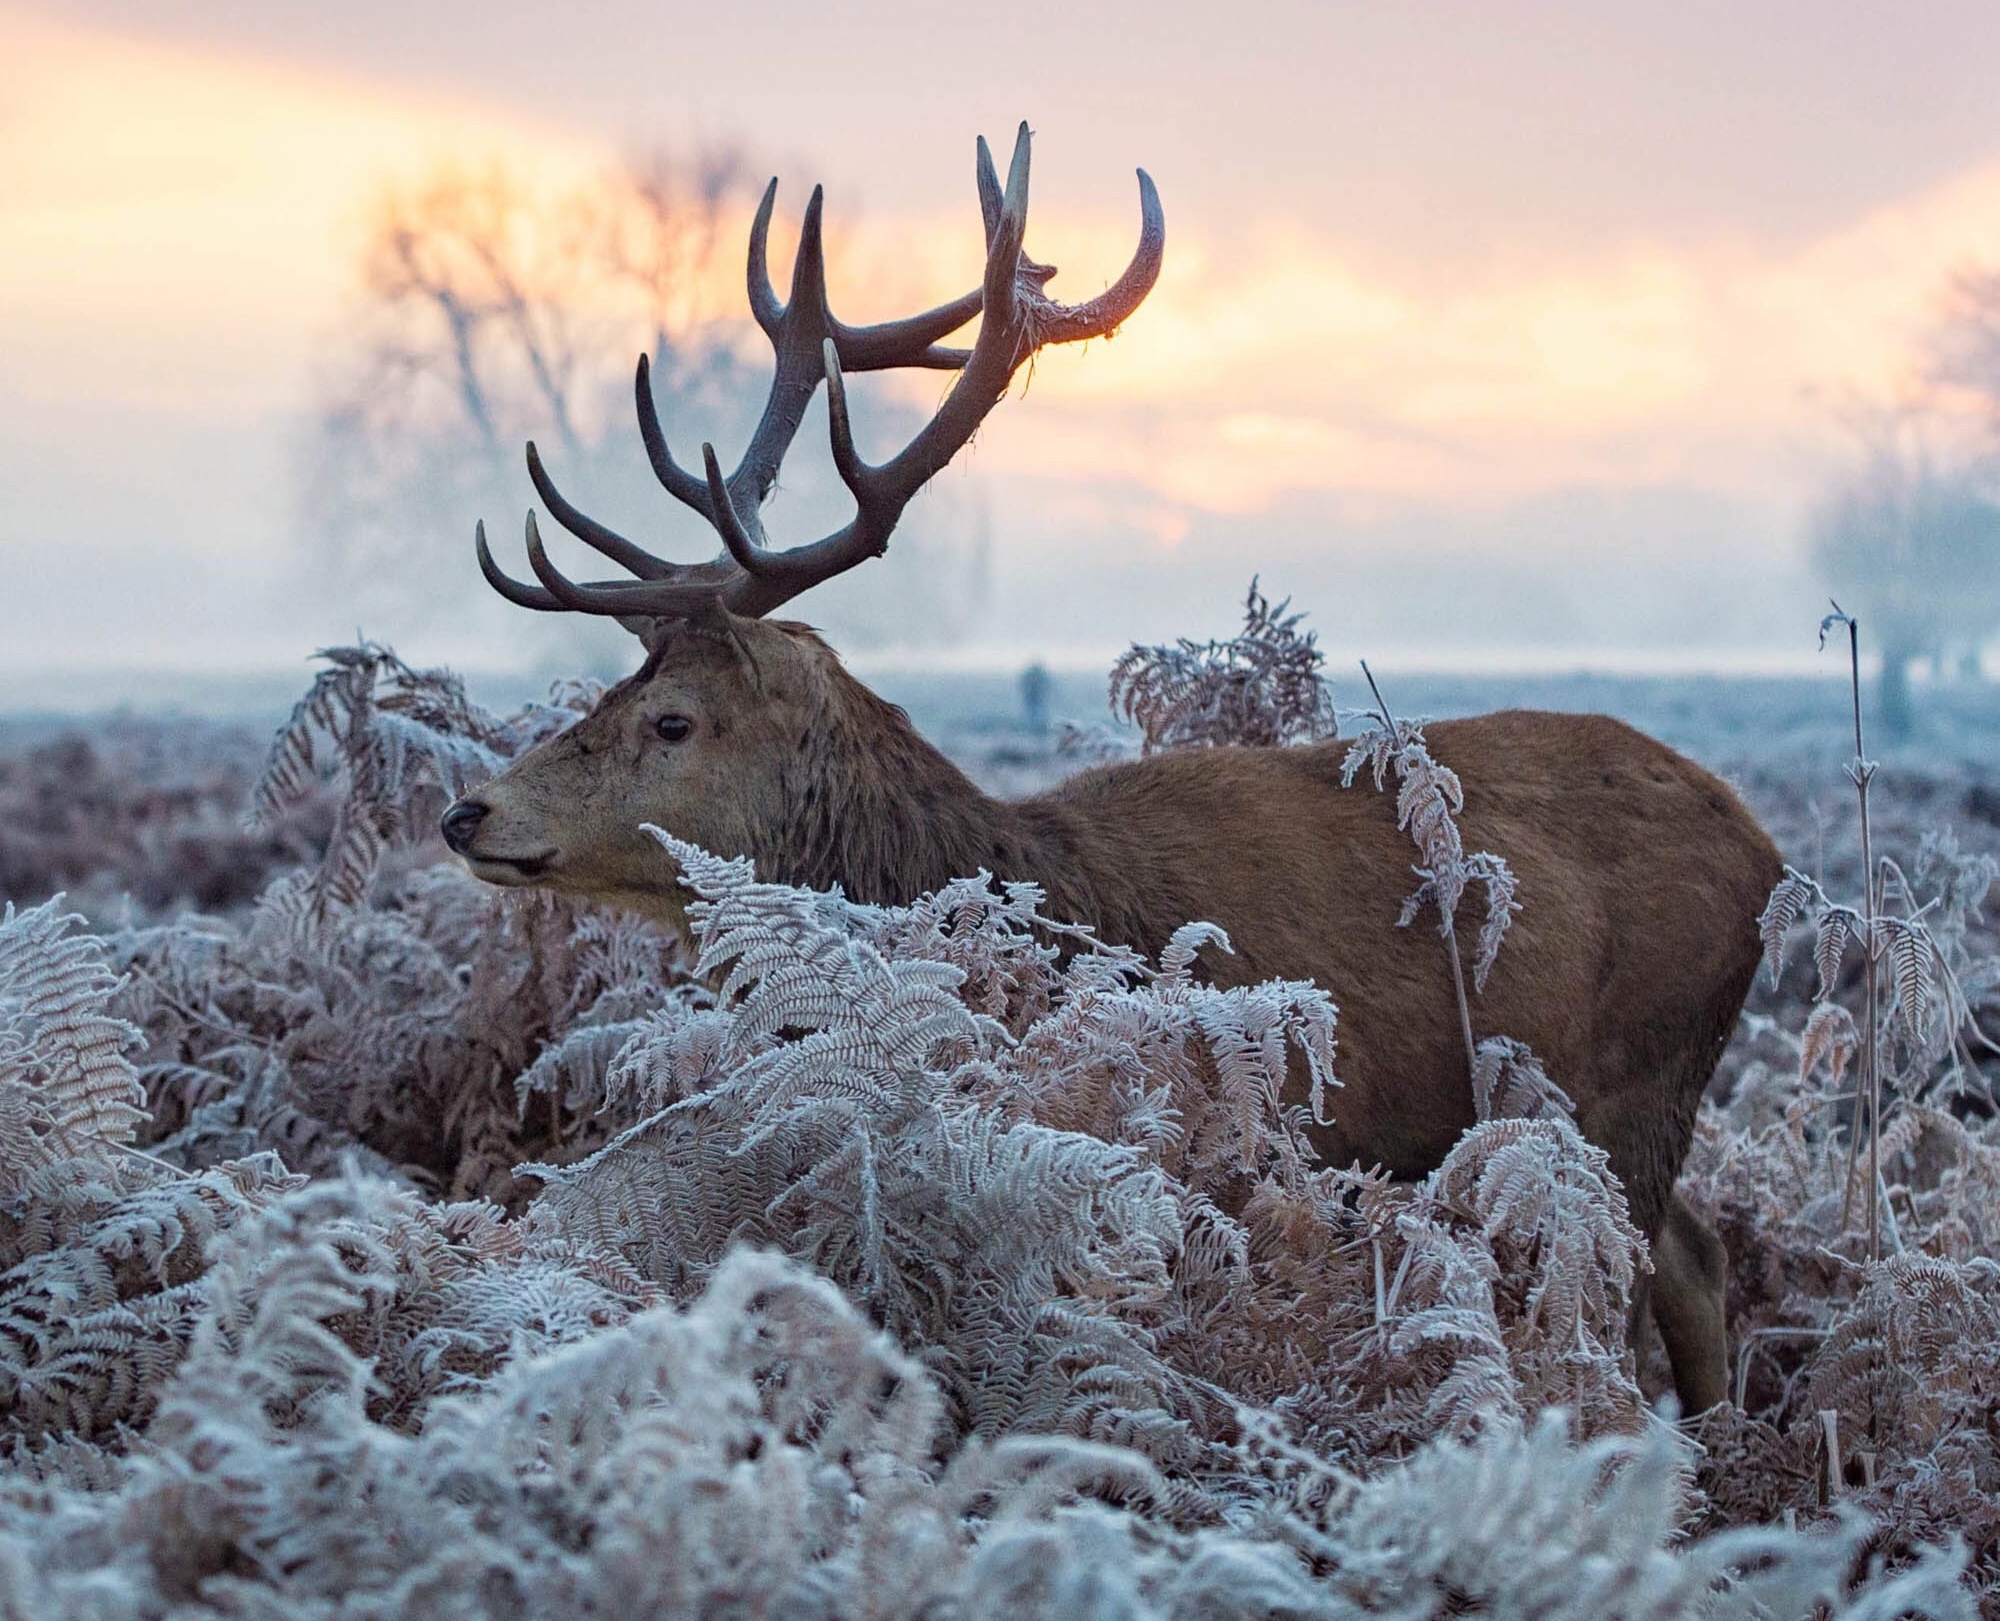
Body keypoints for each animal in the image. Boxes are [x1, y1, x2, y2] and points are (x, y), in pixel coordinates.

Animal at [442, 129, 1784, 1416]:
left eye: (673, 721)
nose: (468, 810)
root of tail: (1766, 852)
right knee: (1695, 1255)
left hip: (1638, 1070)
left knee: (1630, 1281)